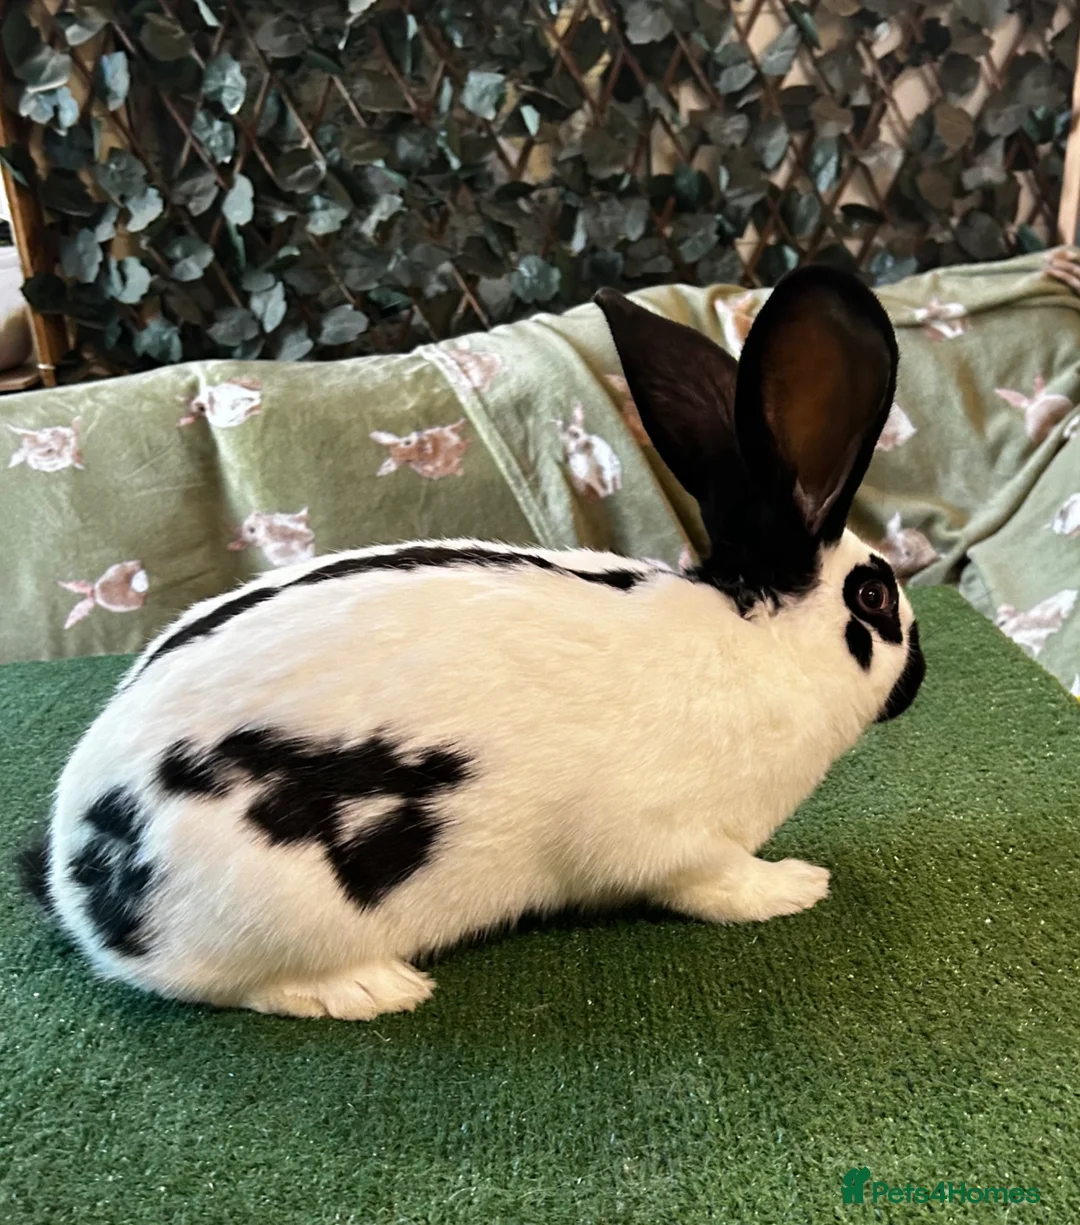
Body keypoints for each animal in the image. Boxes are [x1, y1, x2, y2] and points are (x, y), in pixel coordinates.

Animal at [21, 266, 925, 1021]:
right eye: (875, 596)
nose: (919, 676)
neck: (755, 640)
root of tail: (74, 872)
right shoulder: (678, 838)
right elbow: (717, 883)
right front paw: (796, 886)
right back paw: (371, 988)